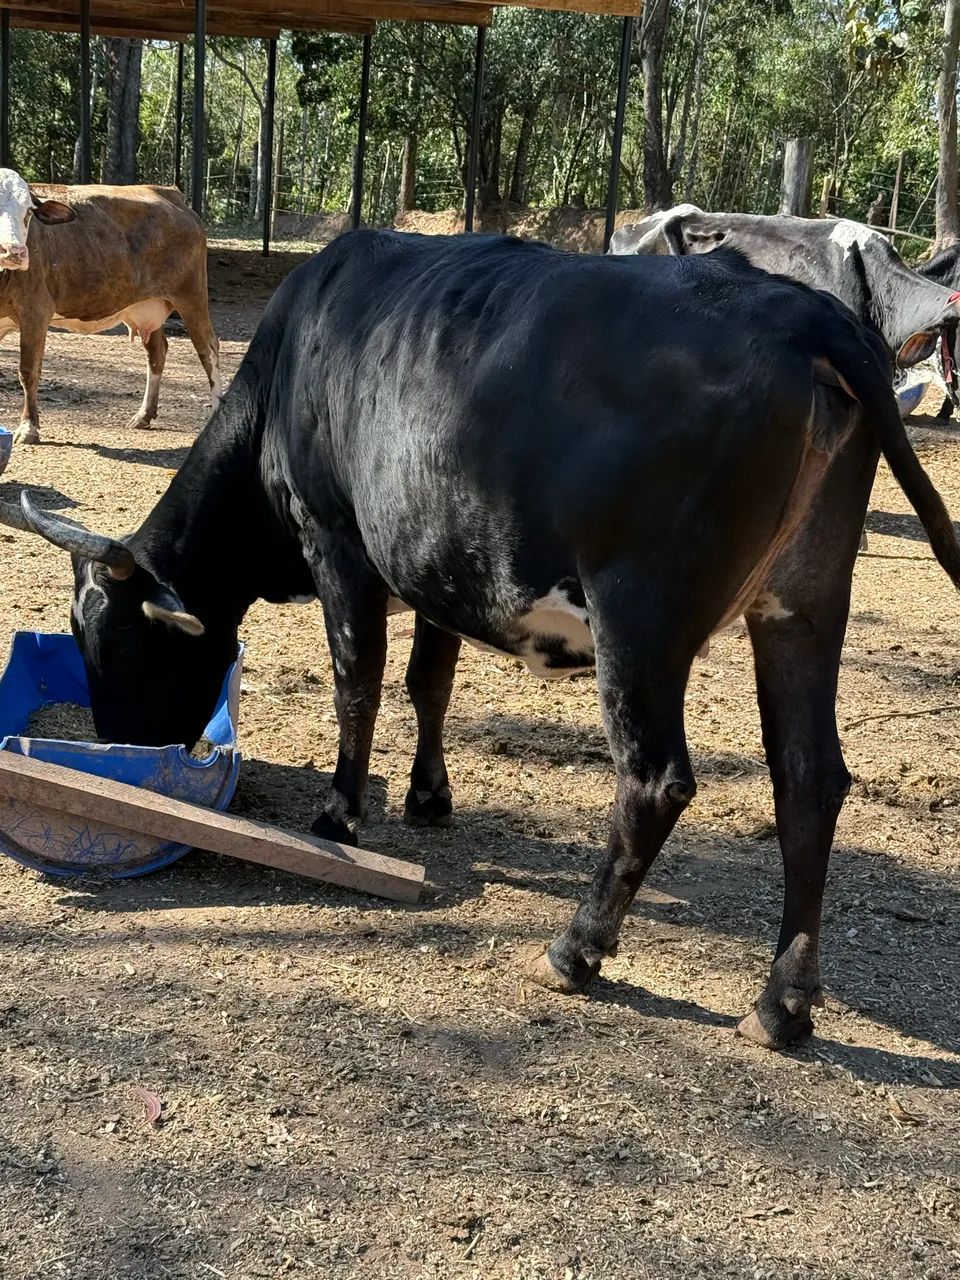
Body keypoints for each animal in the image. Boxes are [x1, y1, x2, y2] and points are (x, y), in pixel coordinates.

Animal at [0, 167, 222, 444]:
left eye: (29, 212)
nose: (14, 252)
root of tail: (171, 194)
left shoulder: (35, 310)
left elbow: (28, 370)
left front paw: (28, 428)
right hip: (145, 305)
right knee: (157, 352)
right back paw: (143, 415)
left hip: (192, 295)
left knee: (208, 350)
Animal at [2, 230, 959, 1052]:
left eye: (119, 646)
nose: (127, 751)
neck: (290, 369)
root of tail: (807, 312)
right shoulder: (434, 563)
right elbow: (429, 683)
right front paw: (429, 795)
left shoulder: (338, 543)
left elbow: (358, 682)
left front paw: (342, 812)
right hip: (802, 604)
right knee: (809, 779)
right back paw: (782, 1002)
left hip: (640, 615)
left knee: (655, 780)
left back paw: (577, 949)